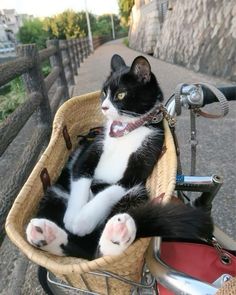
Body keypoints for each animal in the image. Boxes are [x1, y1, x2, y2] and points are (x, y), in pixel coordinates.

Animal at [25, 55, 214, 260]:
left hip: (137, 194)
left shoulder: (146, 156)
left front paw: (83, 219)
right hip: (56, 192)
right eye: (103, 93)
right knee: (84, 250)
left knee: (97, 250)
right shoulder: (92, 148)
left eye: (121, 95)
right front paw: (72, 215)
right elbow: (81, 173)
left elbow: (115, 188)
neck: (127, 128)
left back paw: (117, 233)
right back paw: (45, 235)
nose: (104, 107)